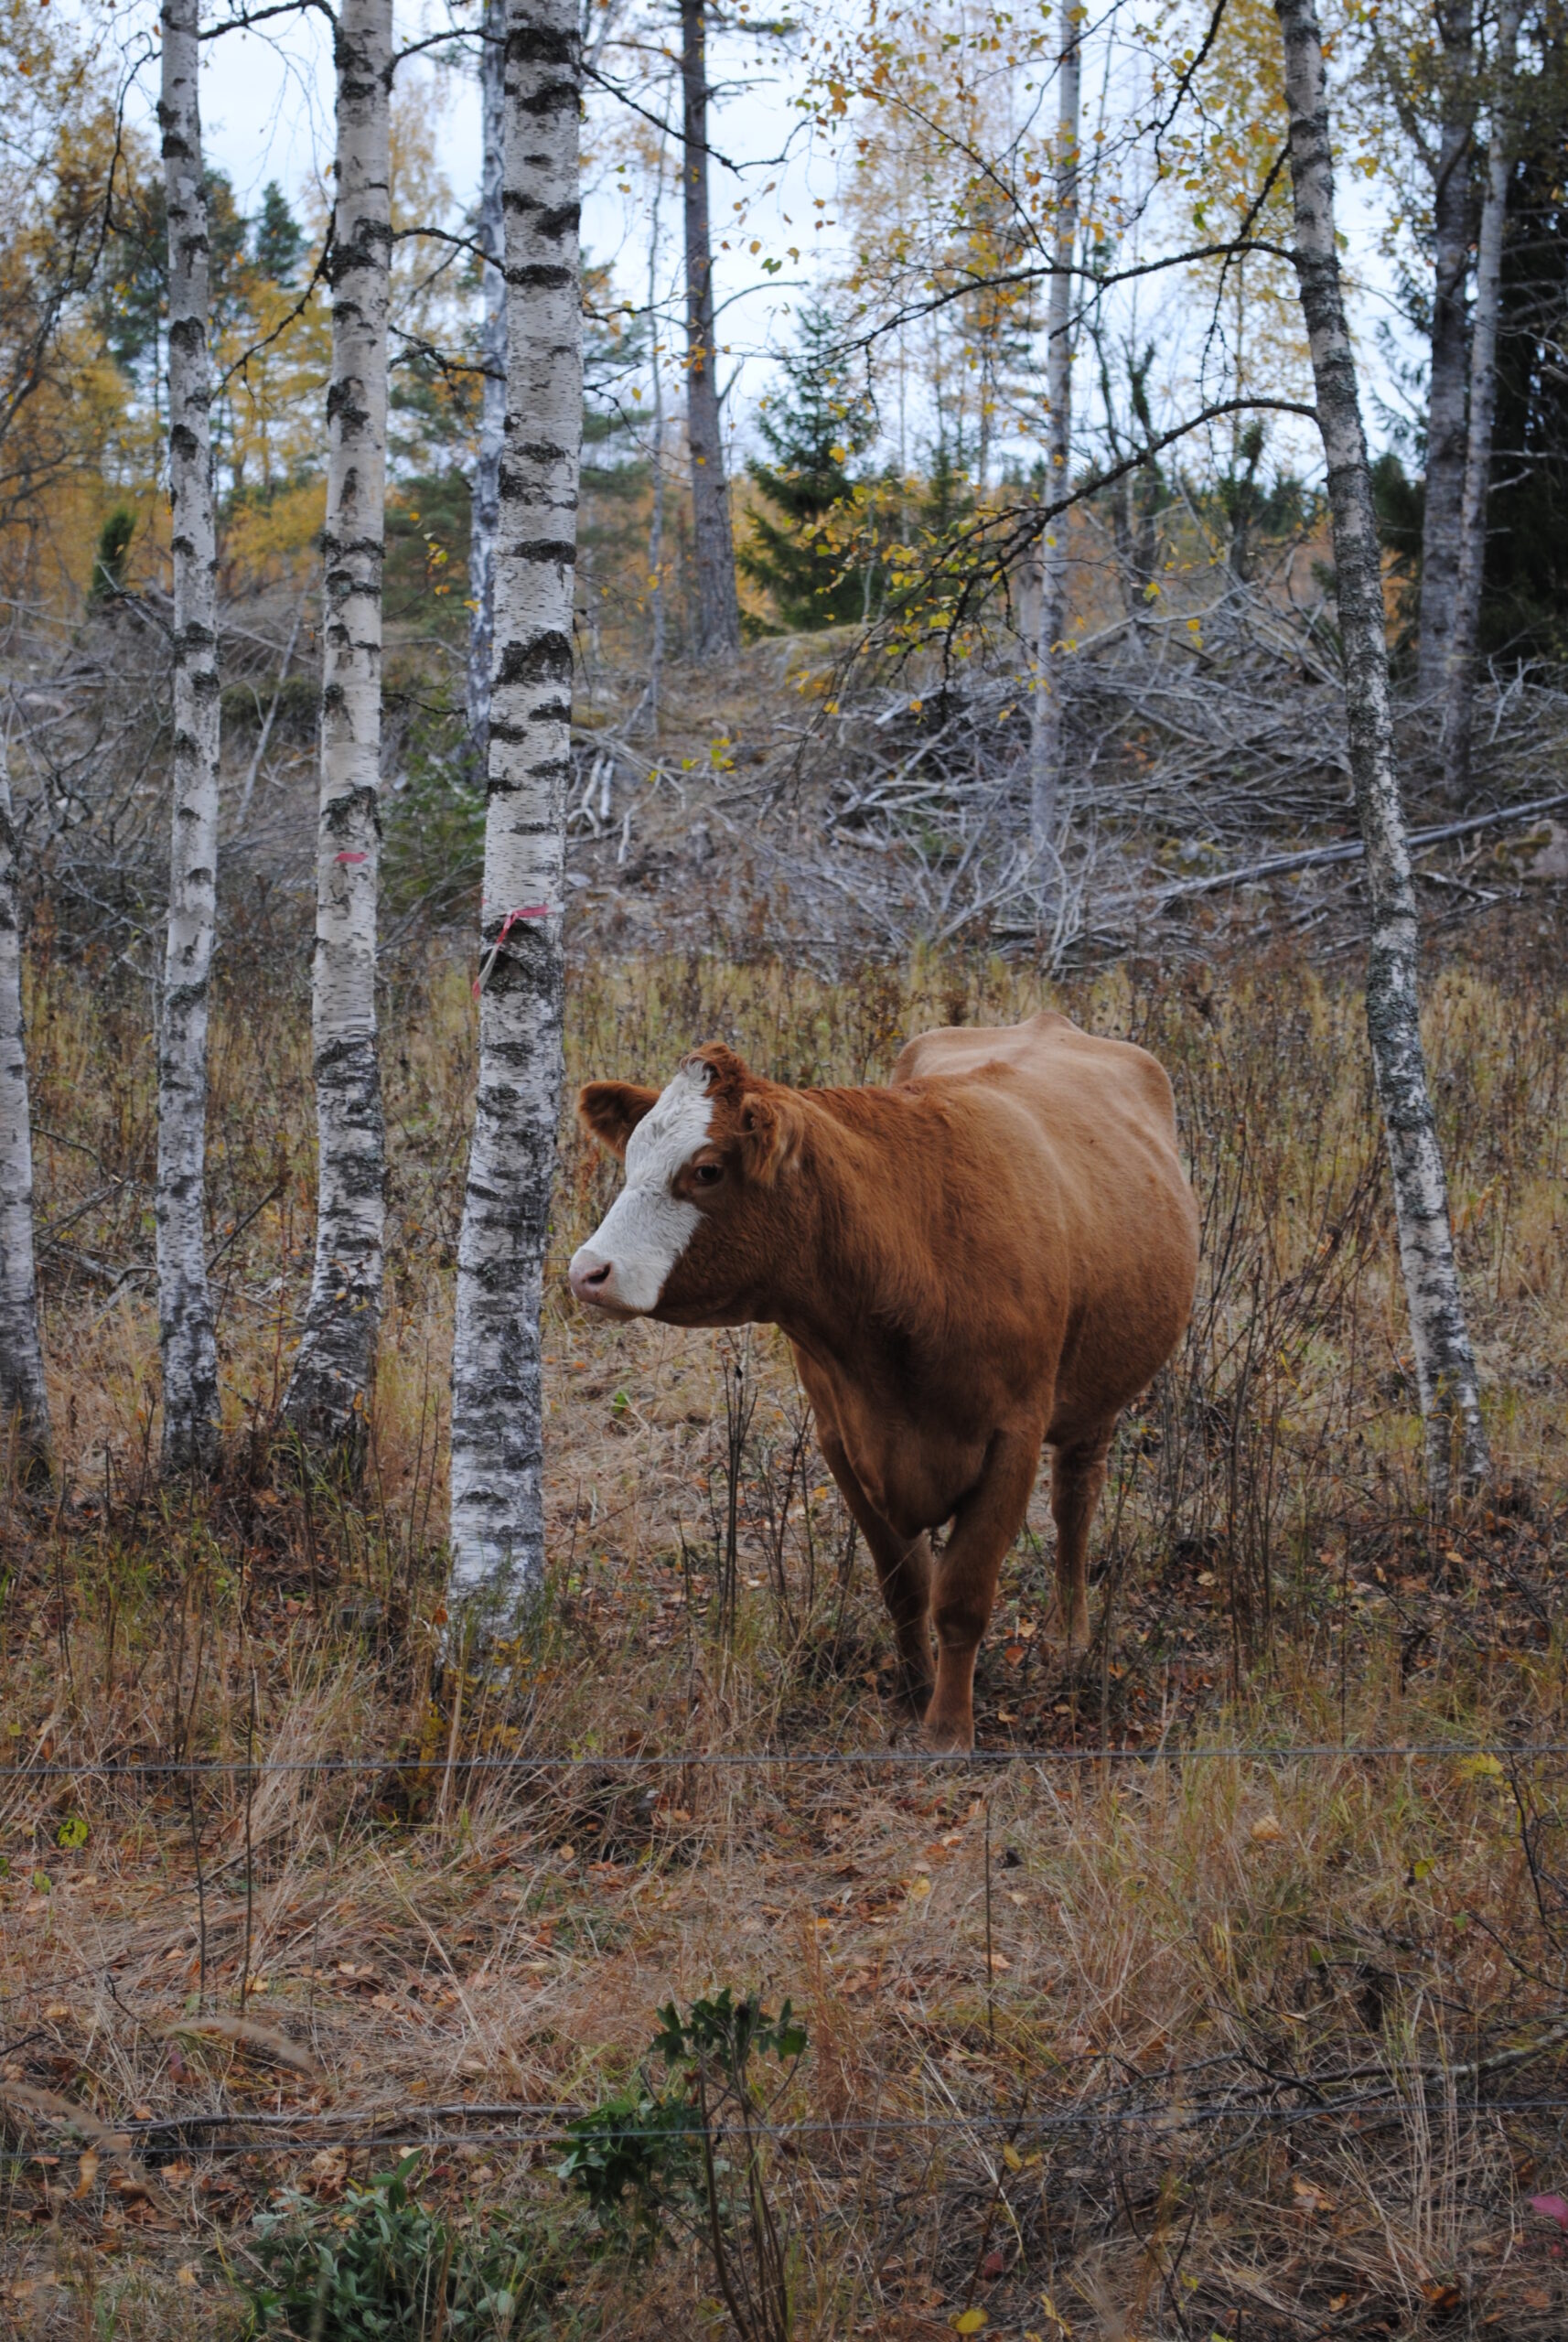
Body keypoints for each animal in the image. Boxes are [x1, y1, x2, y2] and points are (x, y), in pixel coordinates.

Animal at [569, 1013, 1199, 1749]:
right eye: (631, 1159)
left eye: (707, 1170)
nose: (588, 1271)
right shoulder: (842, 1436)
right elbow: (905, 1585)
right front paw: (914, 1694)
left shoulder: (1012, 1436)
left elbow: (962, 1596)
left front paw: (949, 1729)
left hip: (1099, 1395)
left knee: (1076, 1503)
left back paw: (1070, 1638)